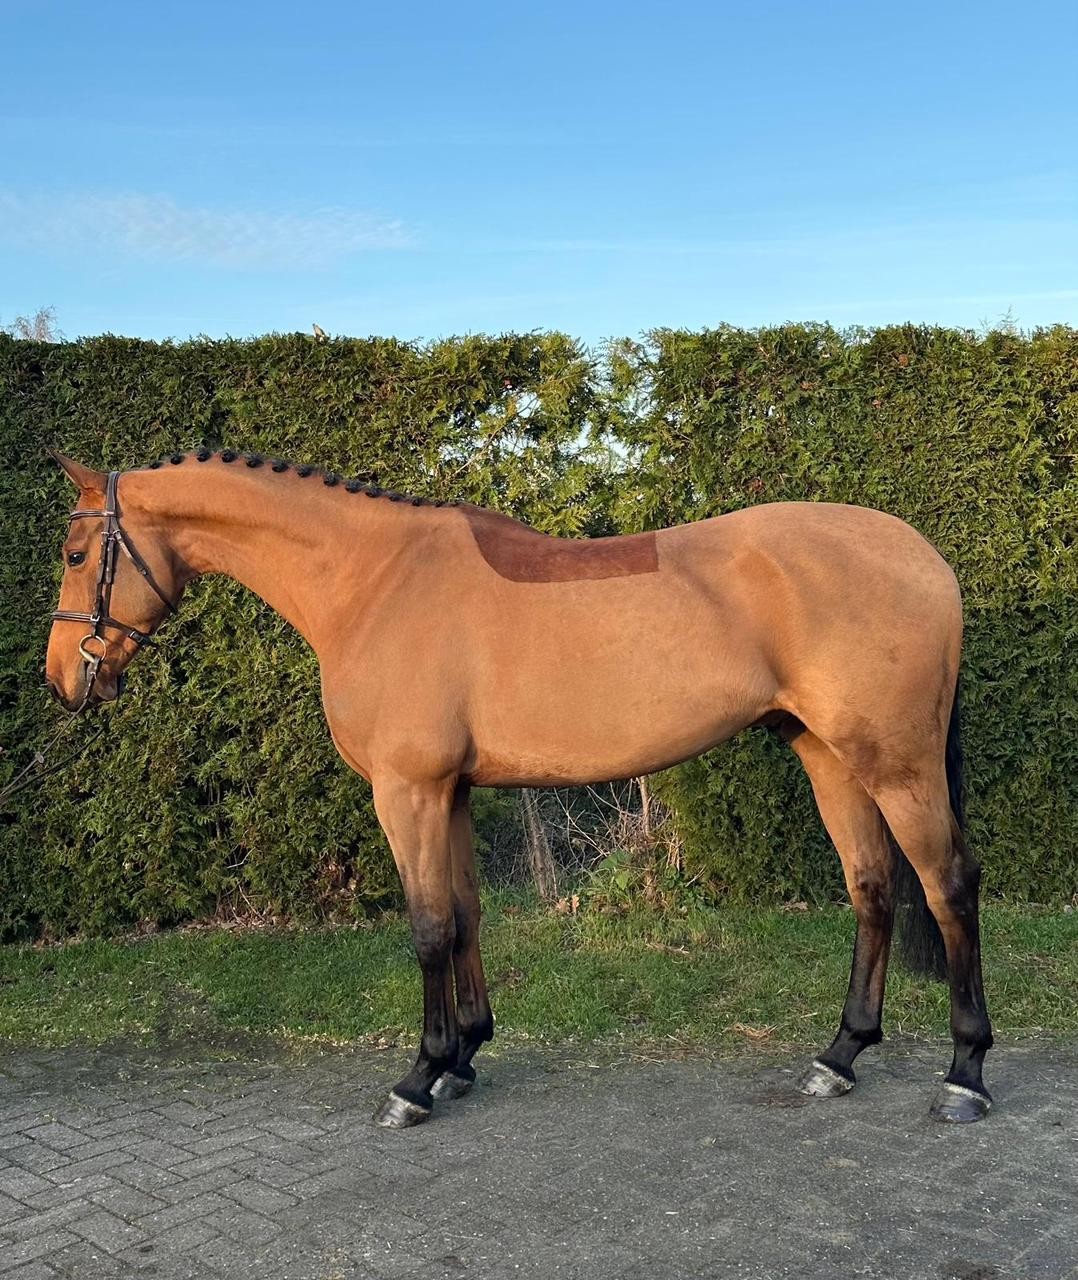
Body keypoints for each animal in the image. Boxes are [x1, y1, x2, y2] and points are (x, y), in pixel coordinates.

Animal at [44, 449, 993, 1128]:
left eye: (78, 551)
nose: (64, 679)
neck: (374, 581)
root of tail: (925, 556)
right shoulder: (453, 792)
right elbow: (465, 915)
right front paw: (464, 1059)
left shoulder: (409, 791)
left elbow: (428, 927)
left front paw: (417, 1079)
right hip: (829, 756)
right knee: (872, 889)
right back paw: (840, 1057)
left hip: (897, 764)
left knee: (948, 887)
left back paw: (964, 1075)